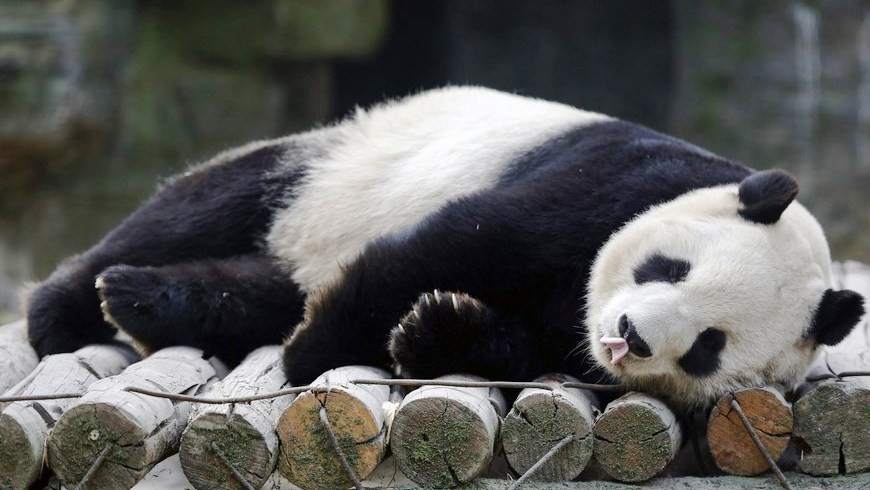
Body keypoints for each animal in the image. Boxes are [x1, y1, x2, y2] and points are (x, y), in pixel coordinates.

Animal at [25, 86, 865, 408]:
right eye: (671, 269)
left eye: (706, 347)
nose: (628, 337)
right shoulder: (613, 180)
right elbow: (456, 244)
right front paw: (315, 351)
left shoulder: (570, 341)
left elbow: (520, 345)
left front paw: (435, 328)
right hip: (335, 165)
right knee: (208, 204)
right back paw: (81, 303)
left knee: (252, 288)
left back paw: (156, 306)